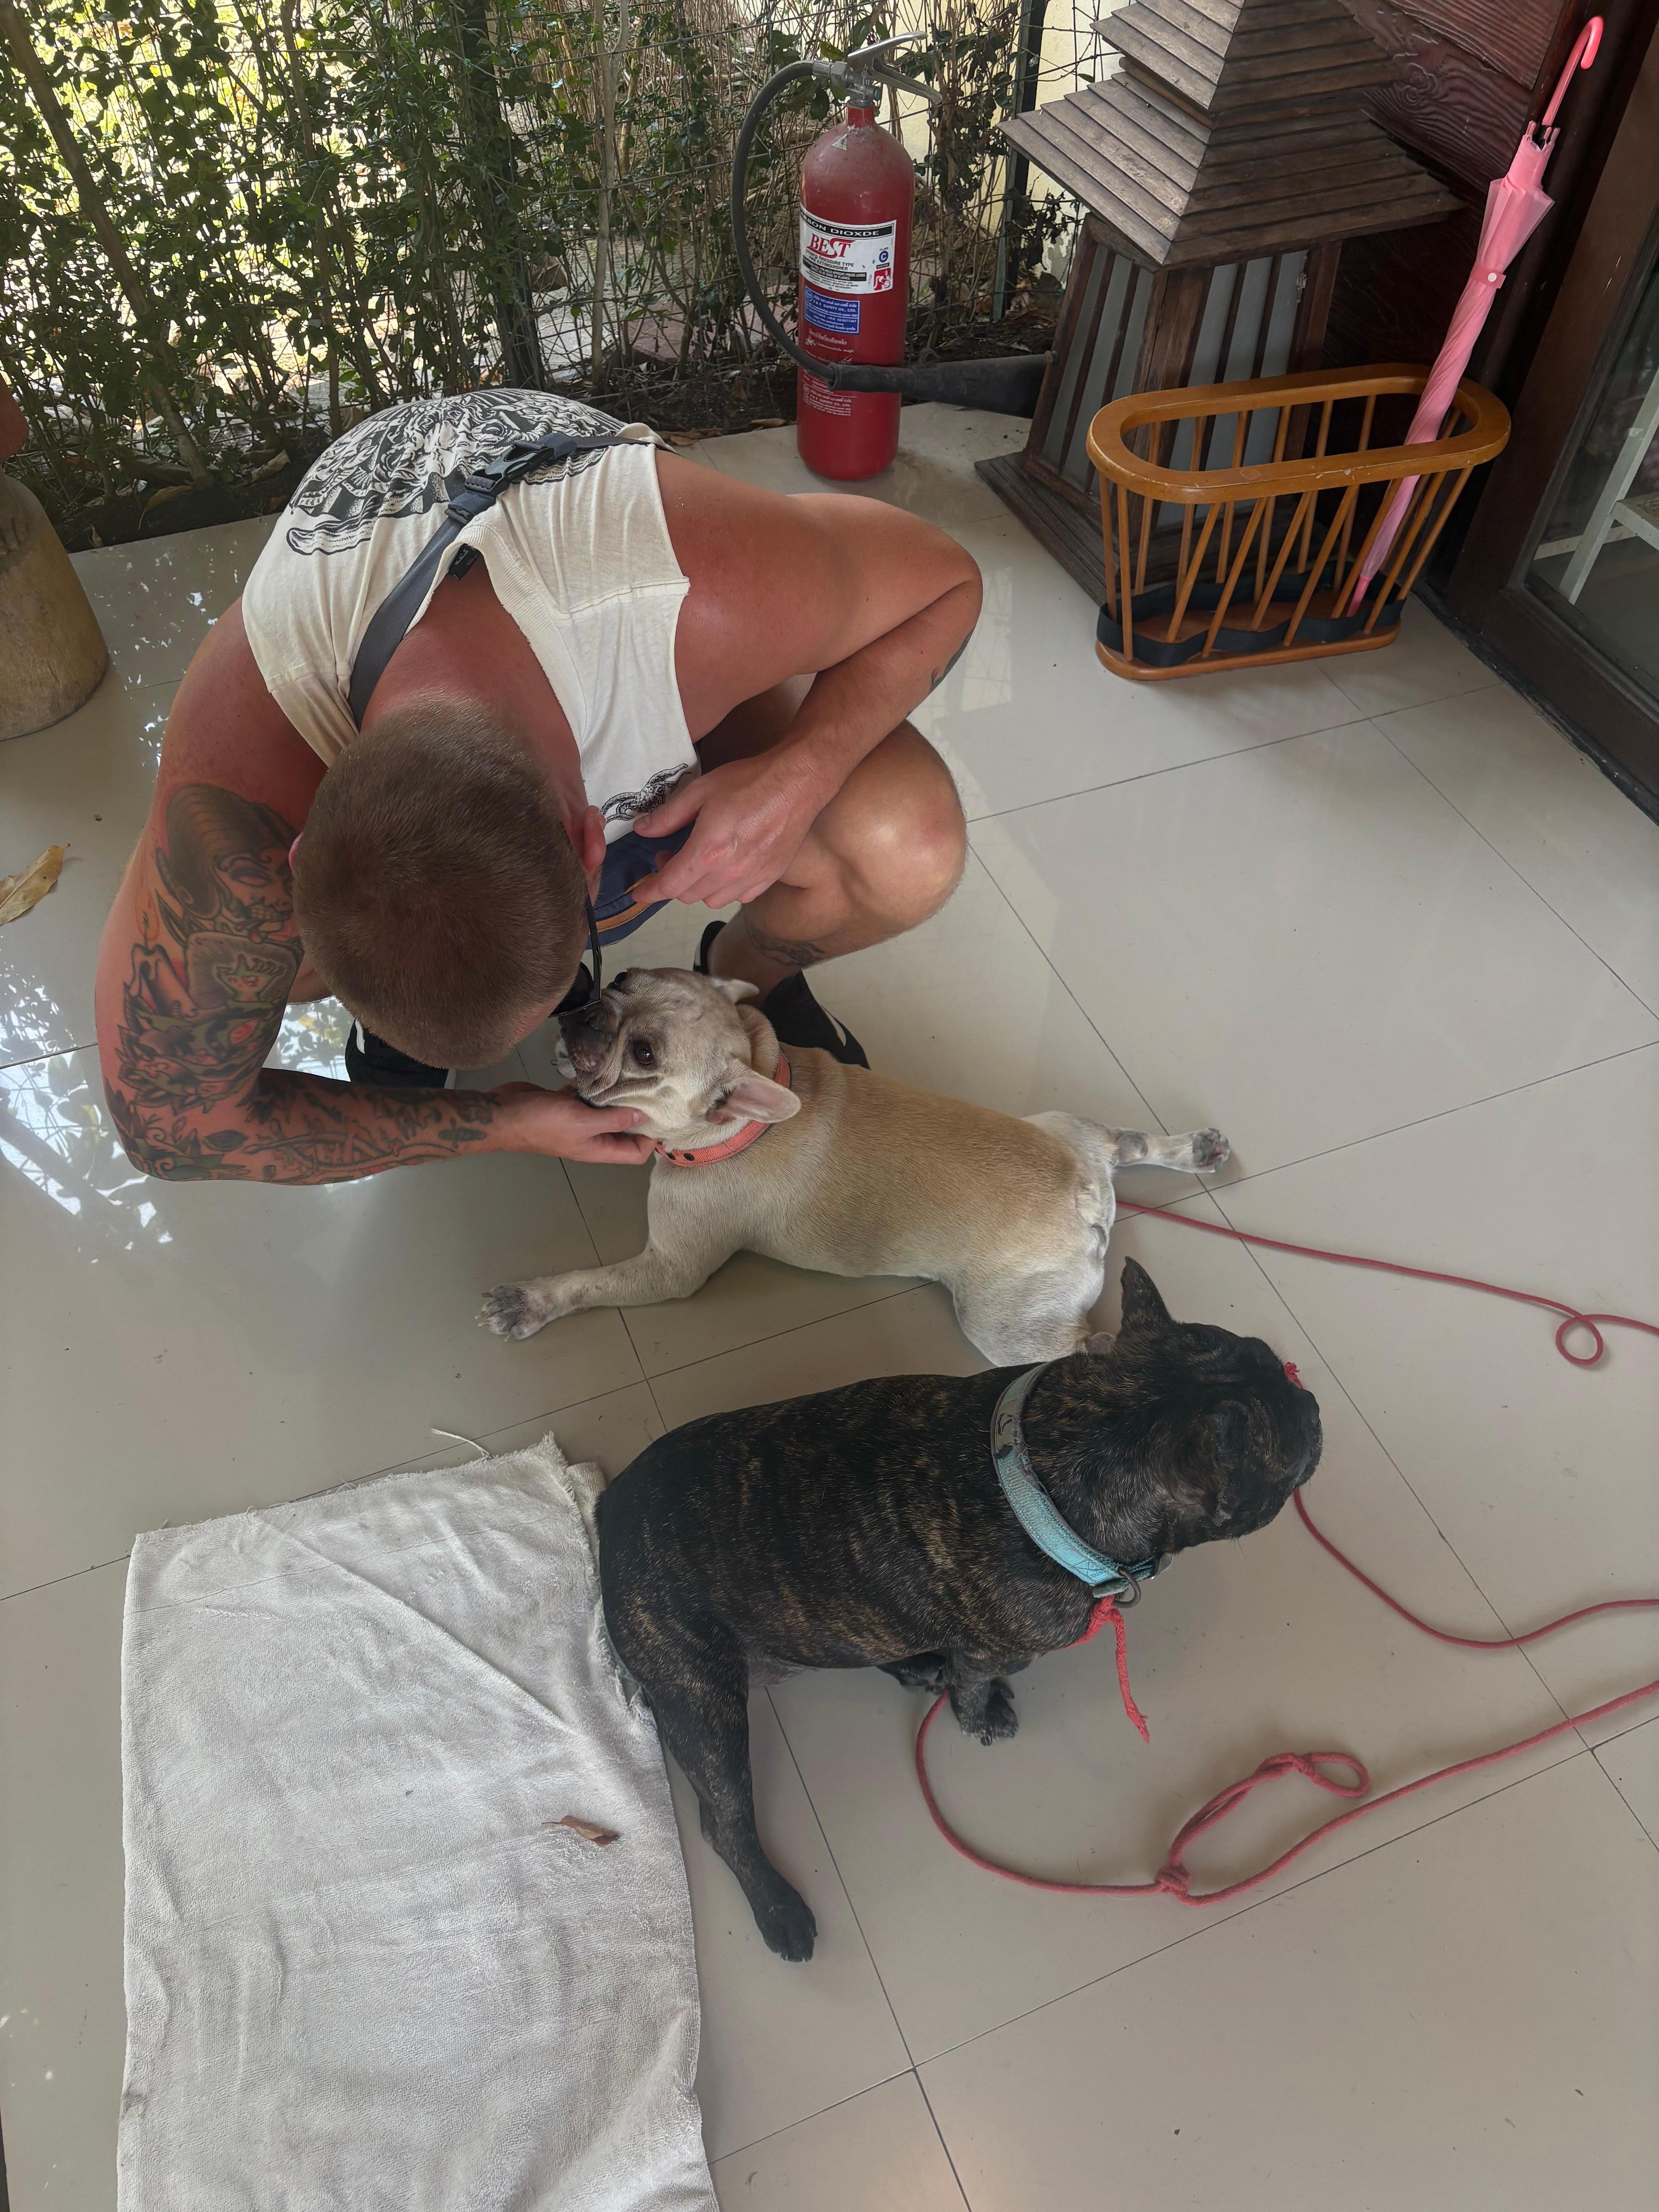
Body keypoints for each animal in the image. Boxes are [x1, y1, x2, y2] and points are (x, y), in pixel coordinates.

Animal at [481, 967, 1229, 1362]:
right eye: (622, 979)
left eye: (643, 1054)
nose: (587, 1007)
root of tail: (1083, 1193)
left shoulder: (669, 1268)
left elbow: (590, 1283)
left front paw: (529, 1302)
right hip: (1065, 1127)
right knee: (1126, 1142)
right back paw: (1192, 1148)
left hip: (1004, 1325)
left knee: (1085, 1349)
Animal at [595, 1259, 1321, 1960]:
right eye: (1289, 1451)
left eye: (1264, 1353)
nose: (1311, 1401)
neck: (1054, 1454)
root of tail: (608, 1510)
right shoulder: (999, 1647)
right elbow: (976, 1679)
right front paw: (980, 1713)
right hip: (702, 1699)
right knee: (724, 1821)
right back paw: (778, 1909)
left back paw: (915, 1663)